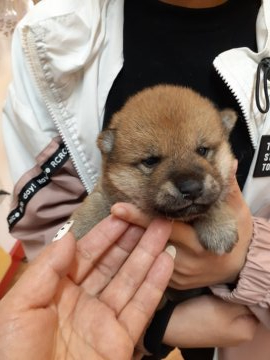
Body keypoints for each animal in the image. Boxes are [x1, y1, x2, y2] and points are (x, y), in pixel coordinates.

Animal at [70, 84, 237, 253]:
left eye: (202, 150)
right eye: (150, 161)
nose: (192, 188)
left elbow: (215, 200)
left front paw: (219, 227)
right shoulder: (107, 190)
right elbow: (95, 204)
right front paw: (78, 230)